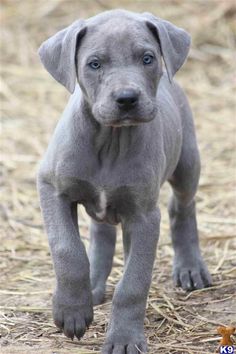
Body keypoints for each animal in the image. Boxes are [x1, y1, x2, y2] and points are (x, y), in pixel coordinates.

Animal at [38, 9, 212, 354]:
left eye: (147, 58)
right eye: (94, 64)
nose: (127, 98)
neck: (109, 140)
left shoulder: (144, 217)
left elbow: (133, 283)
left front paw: (124, 339)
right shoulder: (51, 187)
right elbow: (68, 249)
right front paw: (71, 311)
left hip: (187, 164)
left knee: (181, 208)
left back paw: (190, 268)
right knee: (101, 234)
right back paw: (92, 286)